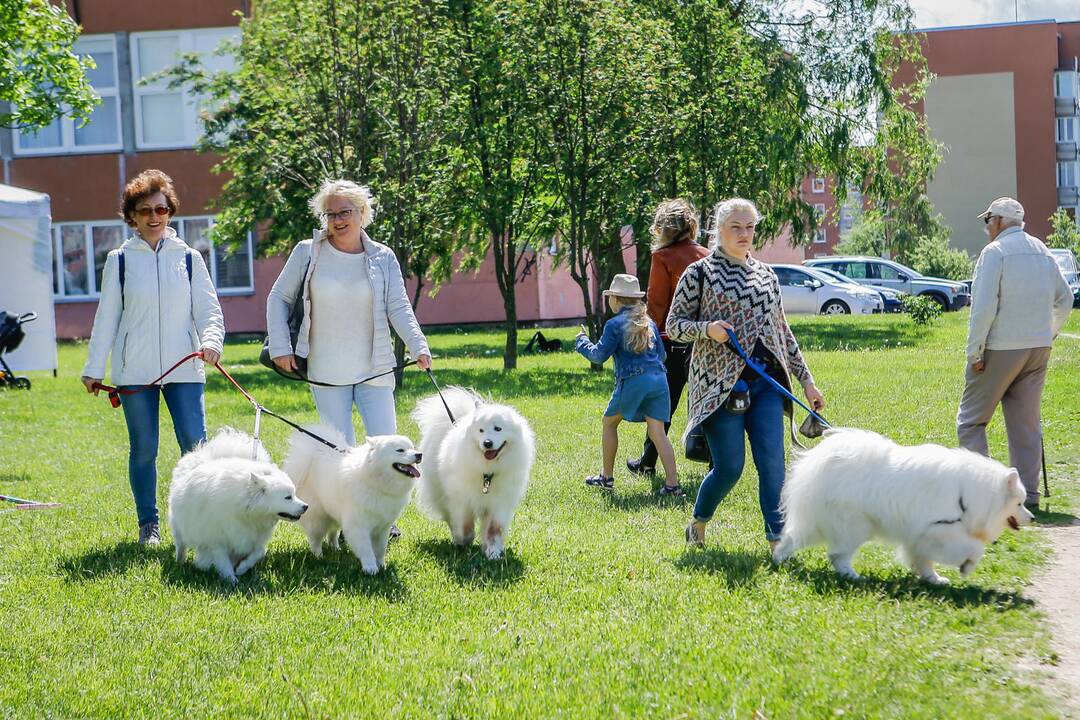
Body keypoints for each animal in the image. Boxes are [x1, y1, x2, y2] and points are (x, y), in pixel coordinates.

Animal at [168, 427, 311, 587]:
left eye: (295, 494)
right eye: (288, 497)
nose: (306, 506)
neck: (247, 513)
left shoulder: (253, 539)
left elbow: (259, 552)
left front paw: (241, 568)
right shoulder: (216, 541)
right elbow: (223, 561)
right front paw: (231, 580)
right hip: (179, 529)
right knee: (181, 545)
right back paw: (180, 561)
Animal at [282, 427, 421, 574]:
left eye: (412, 447)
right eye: (400, 450)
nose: (419, 454)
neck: (373, 482)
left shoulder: (383, 527)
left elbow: (380, 550)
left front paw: (382, 565)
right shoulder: (358, 526)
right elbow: (366, 549)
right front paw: (370, 568)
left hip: (334, 513)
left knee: (332, 532)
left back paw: (335, 548)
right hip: (318, 518)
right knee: (315, 539)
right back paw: (318, 556)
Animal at [410, 386, 533, 561]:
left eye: (498, 428)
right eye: (481, 430)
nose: (487, 443)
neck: (487, 474)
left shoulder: (500, 503)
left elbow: (494, 530)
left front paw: (493, 553)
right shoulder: (462, 500)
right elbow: (464, 526)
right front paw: (463, 542)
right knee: (449, 516)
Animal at [773, 427, 1032, 587]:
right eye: (1019, 503)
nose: (1032, 518)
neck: (968, 495)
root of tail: (821, 462)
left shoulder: (922, 537)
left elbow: (923, 560)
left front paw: (934, 579)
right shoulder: (942, 531)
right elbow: (975, 548)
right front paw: (967, 567)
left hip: (824, 524)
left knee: (793, 538)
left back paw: (779, 559)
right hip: (855, 526)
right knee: (837, 554)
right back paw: (853, 576)